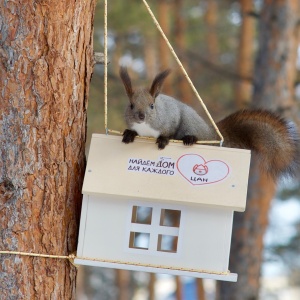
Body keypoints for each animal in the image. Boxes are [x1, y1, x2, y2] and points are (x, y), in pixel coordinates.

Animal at [119, 67, 300, 179]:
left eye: (152, 105)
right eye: (131, 105)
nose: (141, 116)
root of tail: (210, 132)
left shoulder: (172, 118)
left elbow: (169, 131)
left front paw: (163, 140)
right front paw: (129, 133)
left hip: (190, 123)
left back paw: (190, 139)